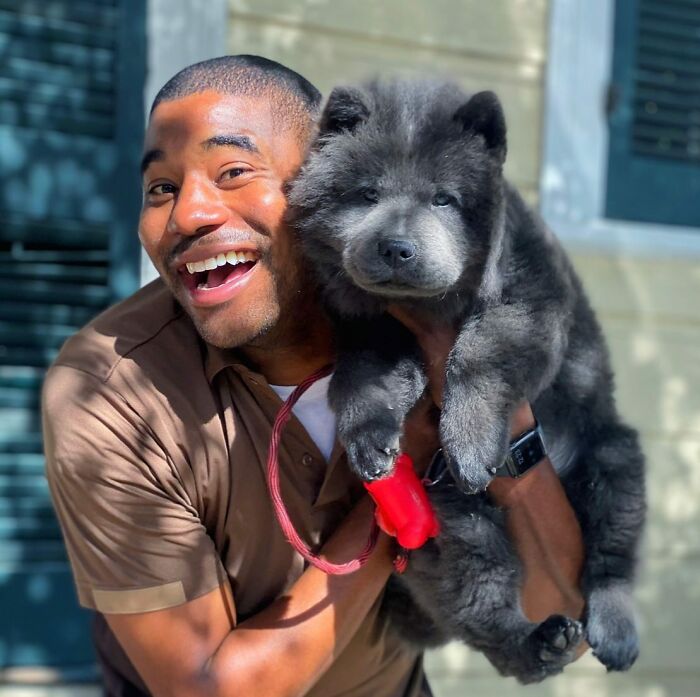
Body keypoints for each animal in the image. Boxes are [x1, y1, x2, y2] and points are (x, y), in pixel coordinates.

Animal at [288, 79, 648, 684]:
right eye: (367, 195)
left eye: (443, 199)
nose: (396, 248)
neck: (427, 307)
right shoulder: (372, 334)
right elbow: (363, 382)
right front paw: (369, 443)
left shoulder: (531, 302)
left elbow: (477, 354)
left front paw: (471, 445)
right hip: (457, 522)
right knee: (488, 605)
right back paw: (538, 644)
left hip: (613, 456)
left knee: (611, 559)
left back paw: (615, 629)